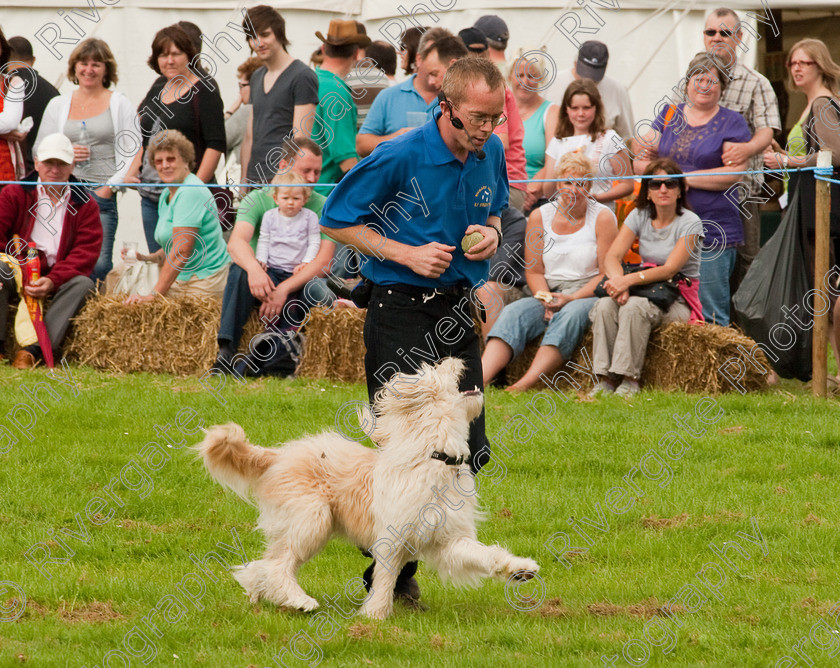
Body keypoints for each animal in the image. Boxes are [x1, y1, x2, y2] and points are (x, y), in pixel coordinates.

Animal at [194, 358, 540, 620]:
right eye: (436, 369)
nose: (457, 358)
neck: (435, 457)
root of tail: (278, 455)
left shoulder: (448, 541)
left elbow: (483, 554)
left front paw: (519, 569)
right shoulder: (393, 539)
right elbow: (385, 577)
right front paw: (375, 615)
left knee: (262, 565)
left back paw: (261, 596)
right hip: (311, 519)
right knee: (279, 565)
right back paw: (299, 600)